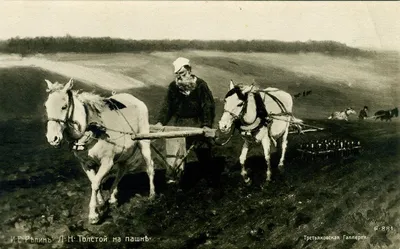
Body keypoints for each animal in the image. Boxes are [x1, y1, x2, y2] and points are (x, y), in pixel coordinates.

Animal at [44, 79, 155, 224]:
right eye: (46, 106)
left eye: (64, 106)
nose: (53, 138)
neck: (92, 127)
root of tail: (136, 100)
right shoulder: (86, 164)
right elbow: (94, 182)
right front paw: (101, 201)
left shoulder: (107, 162)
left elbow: (96, 183)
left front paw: (93, 214)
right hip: (124, 152)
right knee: (121, 171)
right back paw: (112, 197)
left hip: (144, 142)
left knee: (149, 166)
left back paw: (152, 194)